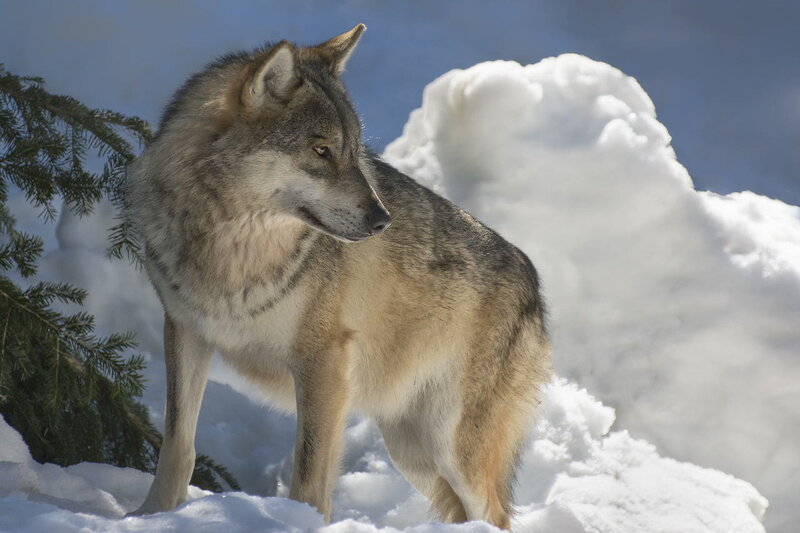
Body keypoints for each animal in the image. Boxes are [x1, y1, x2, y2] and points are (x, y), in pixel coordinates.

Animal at [128, 24, 551, 529]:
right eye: (321, 150)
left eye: (354, 152)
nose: (382, 221)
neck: (233, 250)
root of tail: (534, 284)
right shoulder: (186, 331)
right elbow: (178, 444)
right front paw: (151, 515)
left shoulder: (324, 366)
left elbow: (310, 476)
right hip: (411, 451)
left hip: (452, 451)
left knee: (494, 515)